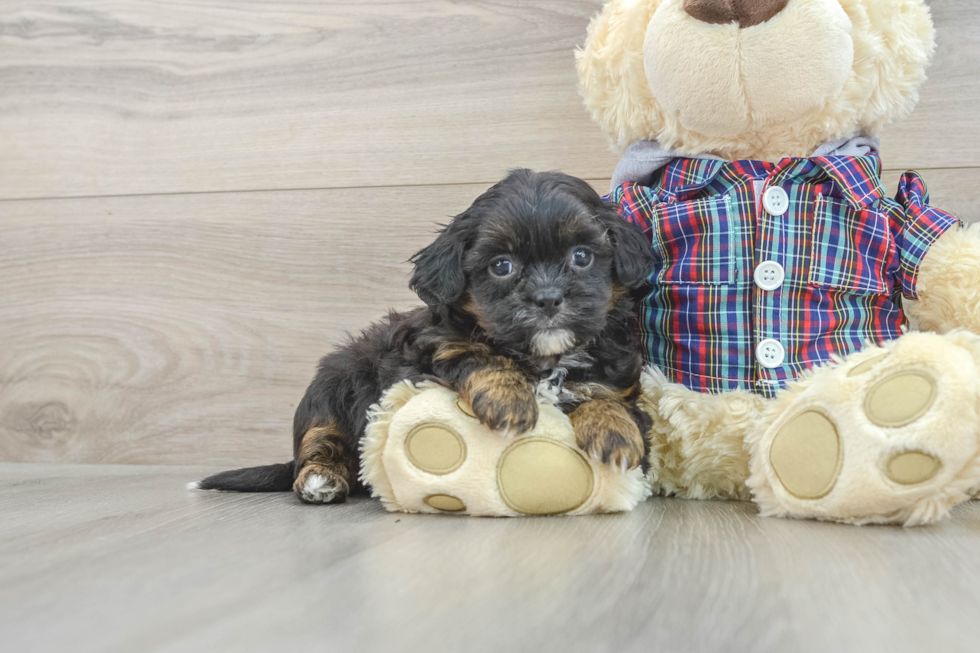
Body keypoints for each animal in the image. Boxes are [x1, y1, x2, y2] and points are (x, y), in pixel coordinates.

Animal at [194, 169, 656, 504]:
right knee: (319, 439)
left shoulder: (615, 374)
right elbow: (476, 354)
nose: (547, 298)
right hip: (329, 388)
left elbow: (611, 398)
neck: (542, 358)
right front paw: (509, 400)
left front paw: (615, 432)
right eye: (501, 266)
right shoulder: (432, 348)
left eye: (582, 256)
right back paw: (320, 478)